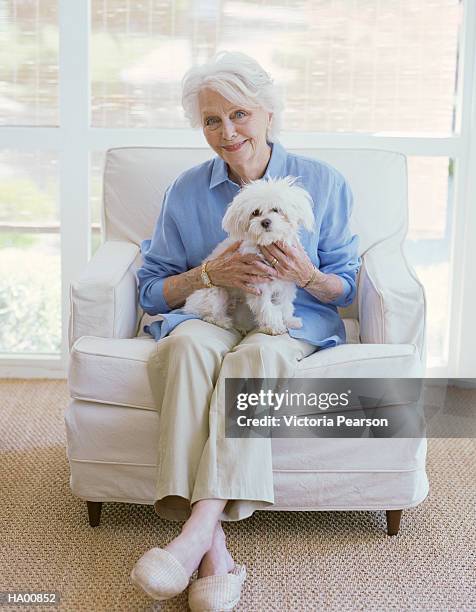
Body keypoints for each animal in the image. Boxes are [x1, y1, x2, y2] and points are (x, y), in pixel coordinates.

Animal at [184, 177, 314, 338]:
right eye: (255, 212)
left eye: (276, 209)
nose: (265, 222)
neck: (266, 244)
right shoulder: (258, 285)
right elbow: (267, 308)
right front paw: (273, 326)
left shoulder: (286, 283)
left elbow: (284, 305)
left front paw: (289, 320)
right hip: (216, 293)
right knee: (209, 314)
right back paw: (223, 321)